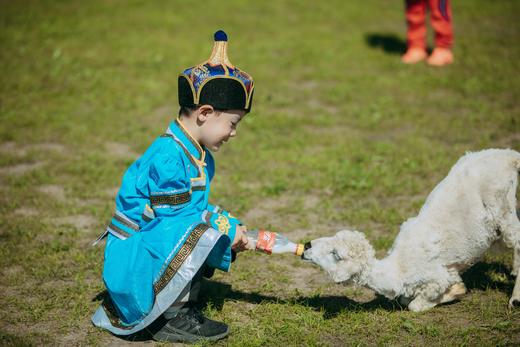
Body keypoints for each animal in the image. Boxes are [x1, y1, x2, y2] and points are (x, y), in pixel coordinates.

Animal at [302, 150, 520, 312]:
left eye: (335, 254)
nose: (307, 245)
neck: (396, 269)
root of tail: (509, 156)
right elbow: (406, 301)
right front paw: (455, 290)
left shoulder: (436, 278)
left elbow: (414, 305)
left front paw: (455, 291)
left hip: (502, 207)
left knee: (516, 239)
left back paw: (515, 299)